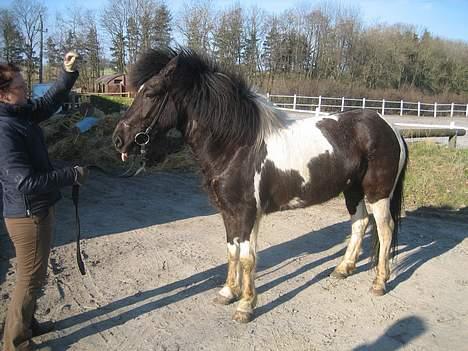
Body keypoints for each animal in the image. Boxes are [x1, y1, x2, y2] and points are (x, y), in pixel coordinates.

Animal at [111, 47, 408, 324]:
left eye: (151, 93)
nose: (118, 139)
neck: (237, 144)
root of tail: (389, 127)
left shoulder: (245, 213)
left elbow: (247, 257)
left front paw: (245, 306)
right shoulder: (229, 212)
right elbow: (232, 251)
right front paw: (227, 293)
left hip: (378, 194)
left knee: (385, 230)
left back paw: (379, 283)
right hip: (353, 191)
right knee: (360, 224)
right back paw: (343, 269)